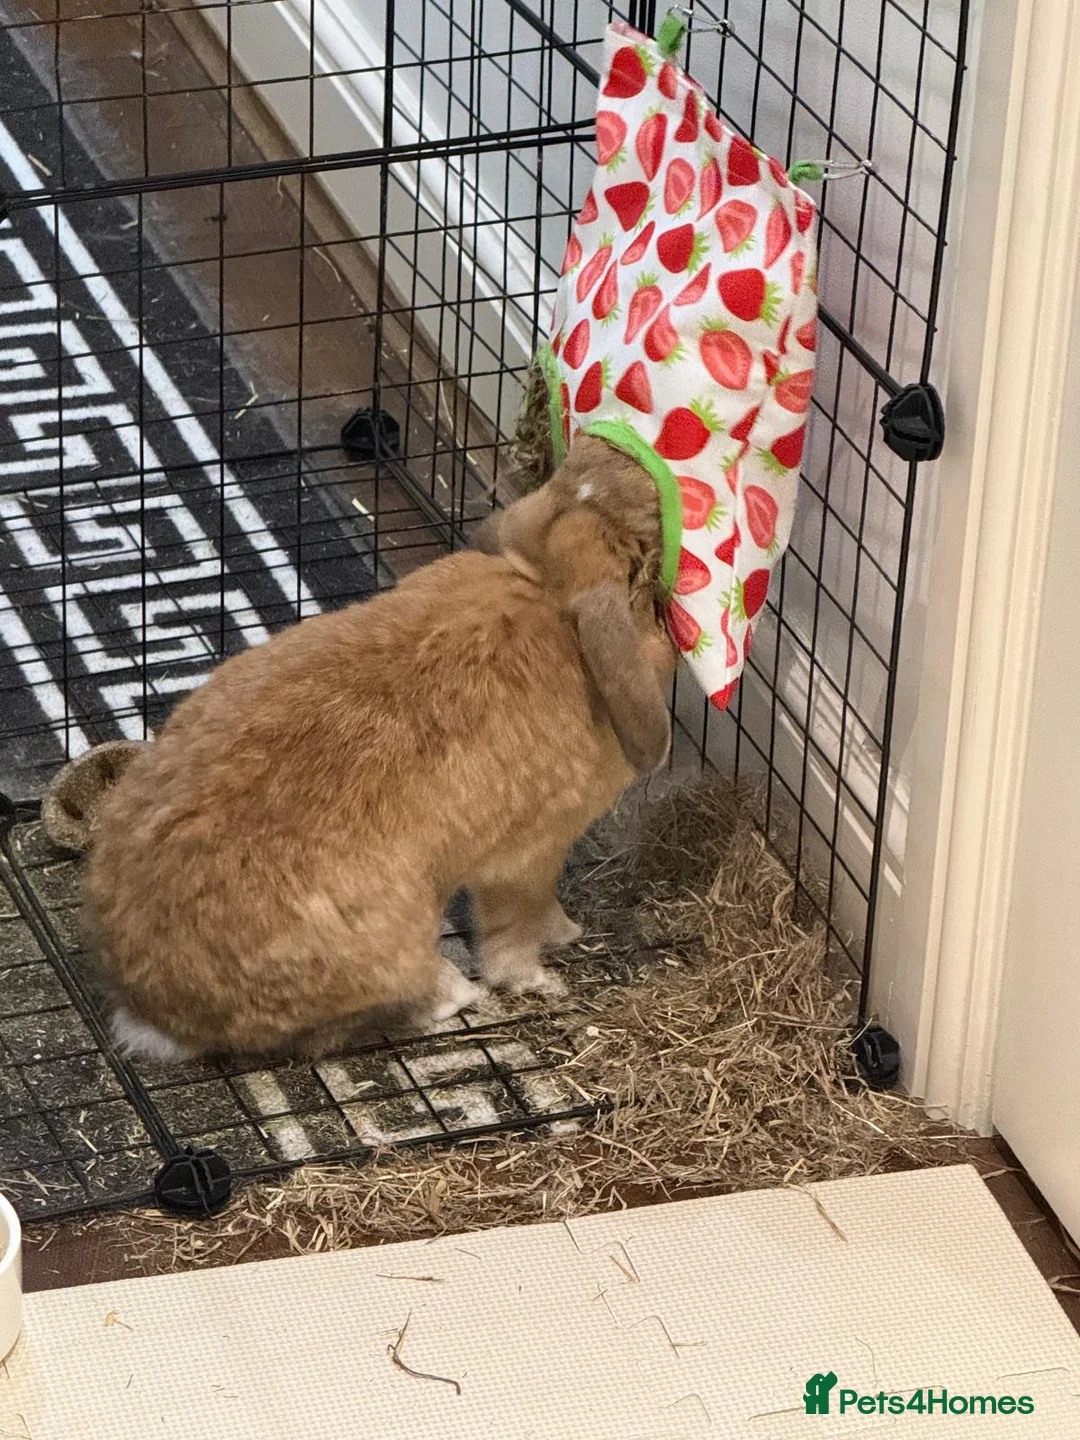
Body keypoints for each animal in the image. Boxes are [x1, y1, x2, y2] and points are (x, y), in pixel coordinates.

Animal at [81, 435, 675, 1061]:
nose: (636, 452)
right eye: (643, 536)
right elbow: (516, 928)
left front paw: (569, 932)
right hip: (388, 942)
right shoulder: (530, 852)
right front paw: (543, 975)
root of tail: (158, 1014)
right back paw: (454, 993)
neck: (549, 592)